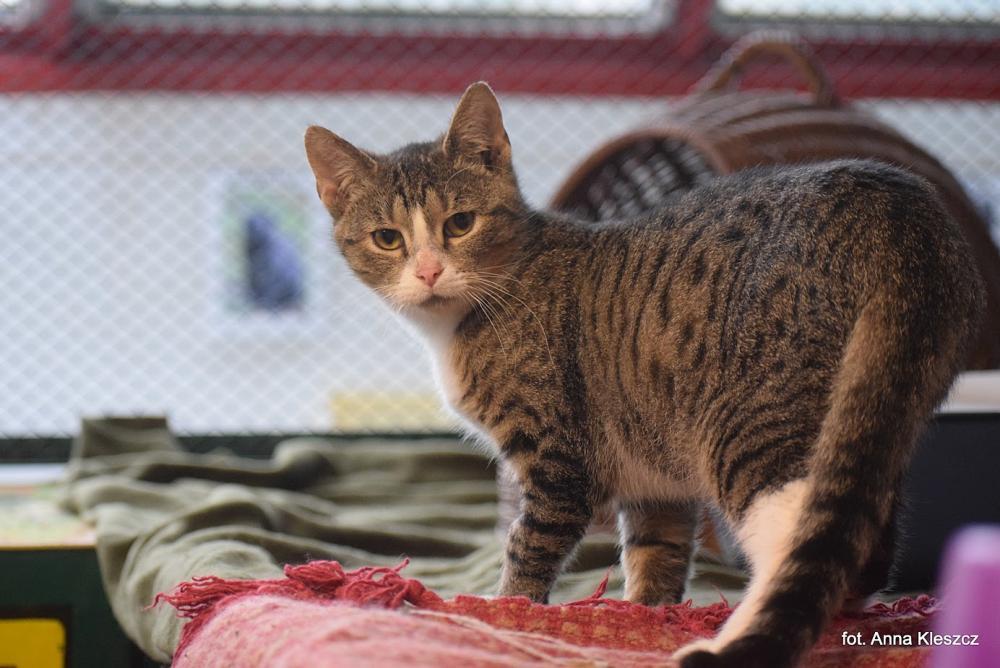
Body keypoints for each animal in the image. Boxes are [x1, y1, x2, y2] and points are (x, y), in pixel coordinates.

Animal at [304, 82, 984, 668]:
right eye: (387, 238)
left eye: (460, 224)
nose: (427, 272)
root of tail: (895, 207)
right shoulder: (654, 474)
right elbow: (657, 551)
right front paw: (642, 615)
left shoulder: (557, 458)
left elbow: (527, 545)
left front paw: (501, 610)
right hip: (871, 411)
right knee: (866, 543)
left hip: (756, 420)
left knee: (808, 540)